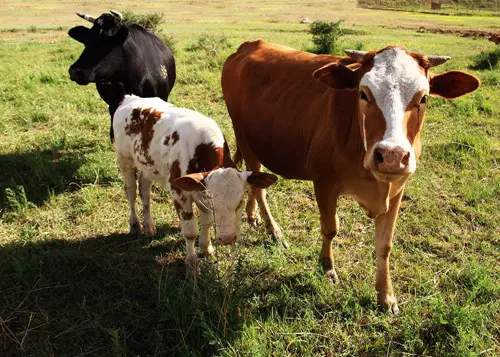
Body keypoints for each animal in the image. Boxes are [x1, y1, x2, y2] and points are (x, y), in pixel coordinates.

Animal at [113, 94, 278, 264]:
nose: (227, 239)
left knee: (144, 189)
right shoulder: (179, 193)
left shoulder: (201, 191)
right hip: (124, 160)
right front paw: (191, 261)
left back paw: (149, 225)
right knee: (131, 192)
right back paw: (135, 225)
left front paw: (206, 248)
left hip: (148, 167)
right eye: (213, 204)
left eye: (240, 202)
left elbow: (206, 222)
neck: (200, 149)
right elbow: (190, 231)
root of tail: (130, 98)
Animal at [223, 39, 480, 312]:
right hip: (245, 138)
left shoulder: (397, 190)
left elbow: (384, 245)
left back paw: (252, 215)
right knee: (259, 186)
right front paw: (327, 267)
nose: (391, 155)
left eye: (424, 97)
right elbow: (330, 228)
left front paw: (386, 295)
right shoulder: (324, 183)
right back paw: (274, 231)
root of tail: (249, 45)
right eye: (363, 93)